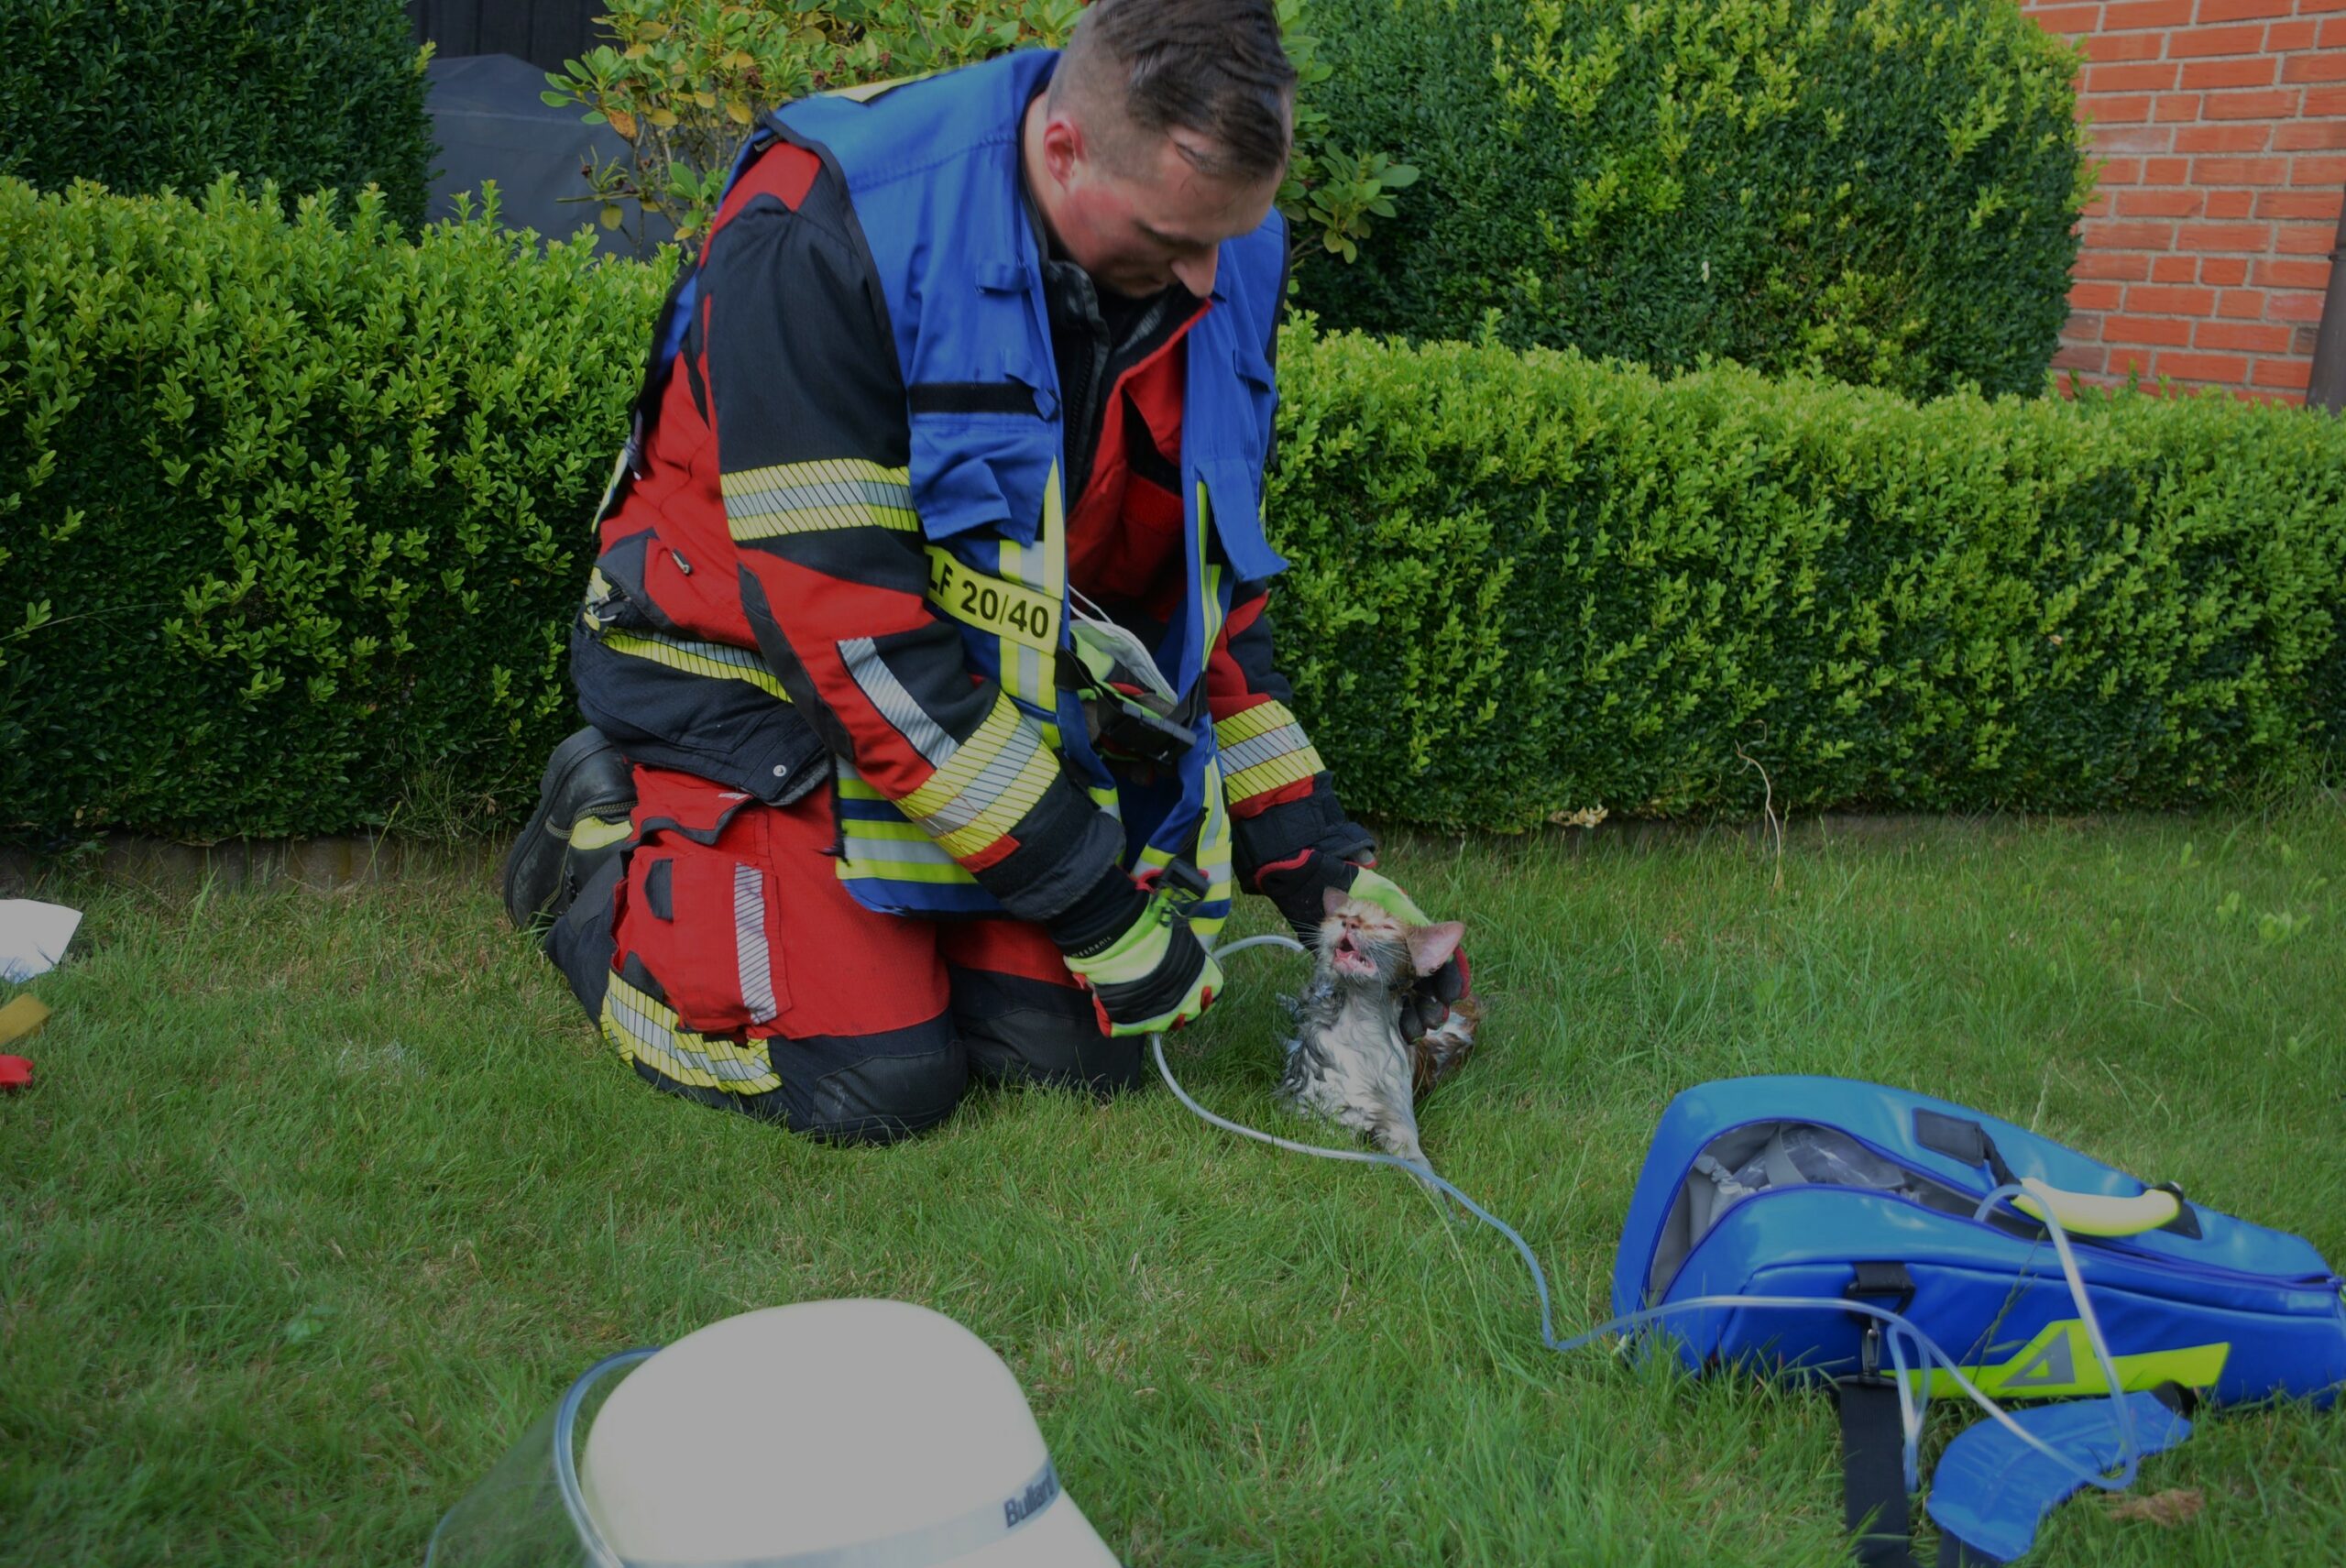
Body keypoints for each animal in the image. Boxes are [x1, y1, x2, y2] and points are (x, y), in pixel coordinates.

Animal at [1285, 883, 1482, 1164]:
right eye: (1343, 914)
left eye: (1387, 927)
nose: (1350, 922)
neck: (1354, 1027)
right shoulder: (1304, 1104)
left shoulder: (1400, 1127)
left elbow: (1420, 1166)